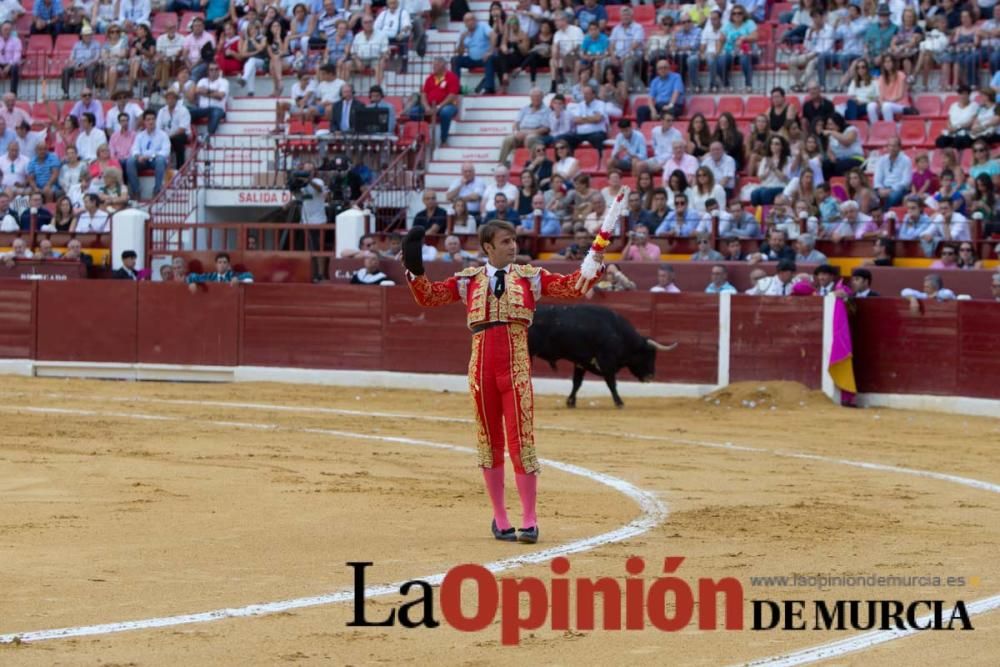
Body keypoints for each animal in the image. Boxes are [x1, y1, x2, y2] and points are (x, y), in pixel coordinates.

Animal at [528, 306, 676, 410]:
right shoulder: (607, 362)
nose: (650, 376)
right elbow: (612, 383)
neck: (619, 333)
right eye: (649, 354)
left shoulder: (581, 362)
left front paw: (571, 402)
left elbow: (577, 383)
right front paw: (619, 403)